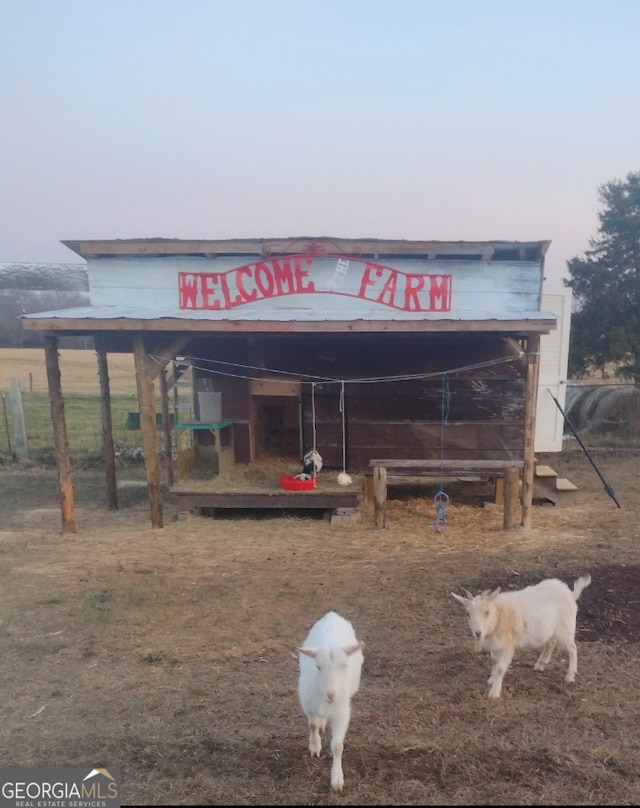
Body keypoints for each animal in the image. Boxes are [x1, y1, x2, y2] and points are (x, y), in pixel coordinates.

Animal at [296, 612, 362, 788]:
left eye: (344, 666)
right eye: (318, 667)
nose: (332, 695)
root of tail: (332, 614)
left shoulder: (342, 713)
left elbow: (337, 746)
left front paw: (337, 779)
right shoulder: (309, 706)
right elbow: (312, 725)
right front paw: (315, 746)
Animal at [452, 576, 592, 700]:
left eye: (487, 612)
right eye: (467, 614)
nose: (478, 633)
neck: (499, 615)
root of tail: (571, 594)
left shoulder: (508, 645)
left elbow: (501, 668)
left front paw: (494, 693)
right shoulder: (495, 646)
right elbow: (494, 662)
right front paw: (492, 680)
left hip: (565, 629)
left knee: (572, 649)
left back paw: (570, 676)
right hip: (549, 629)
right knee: (551, 643)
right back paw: (540, 664)